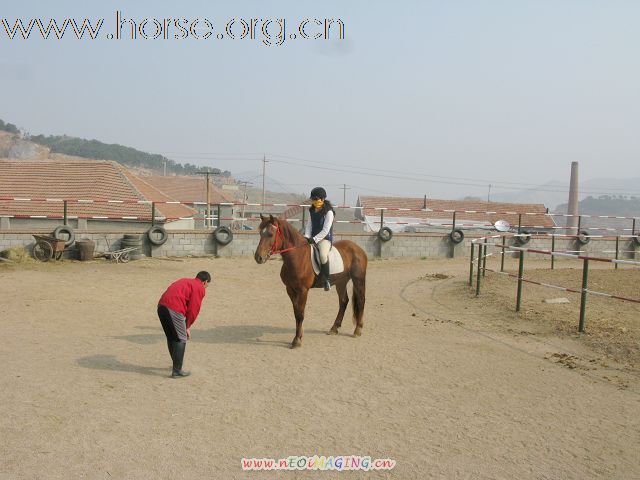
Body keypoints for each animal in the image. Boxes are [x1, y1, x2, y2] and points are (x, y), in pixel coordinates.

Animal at [254, 216, 368, 346]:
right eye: (260, 233)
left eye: (270, 234)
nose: (258, 257)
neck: (297, 257)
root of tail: (357, 248)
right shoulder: (290, 289)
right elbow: (296, 312)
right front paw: (300, 335)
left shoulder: (303, 290)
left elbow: (300, 314)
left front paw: (297, 340)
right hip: (341, 282)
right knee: (343, 301)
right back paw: (334, 328)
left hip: (358, 280)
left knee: (361, 301)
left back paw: (358, 330)